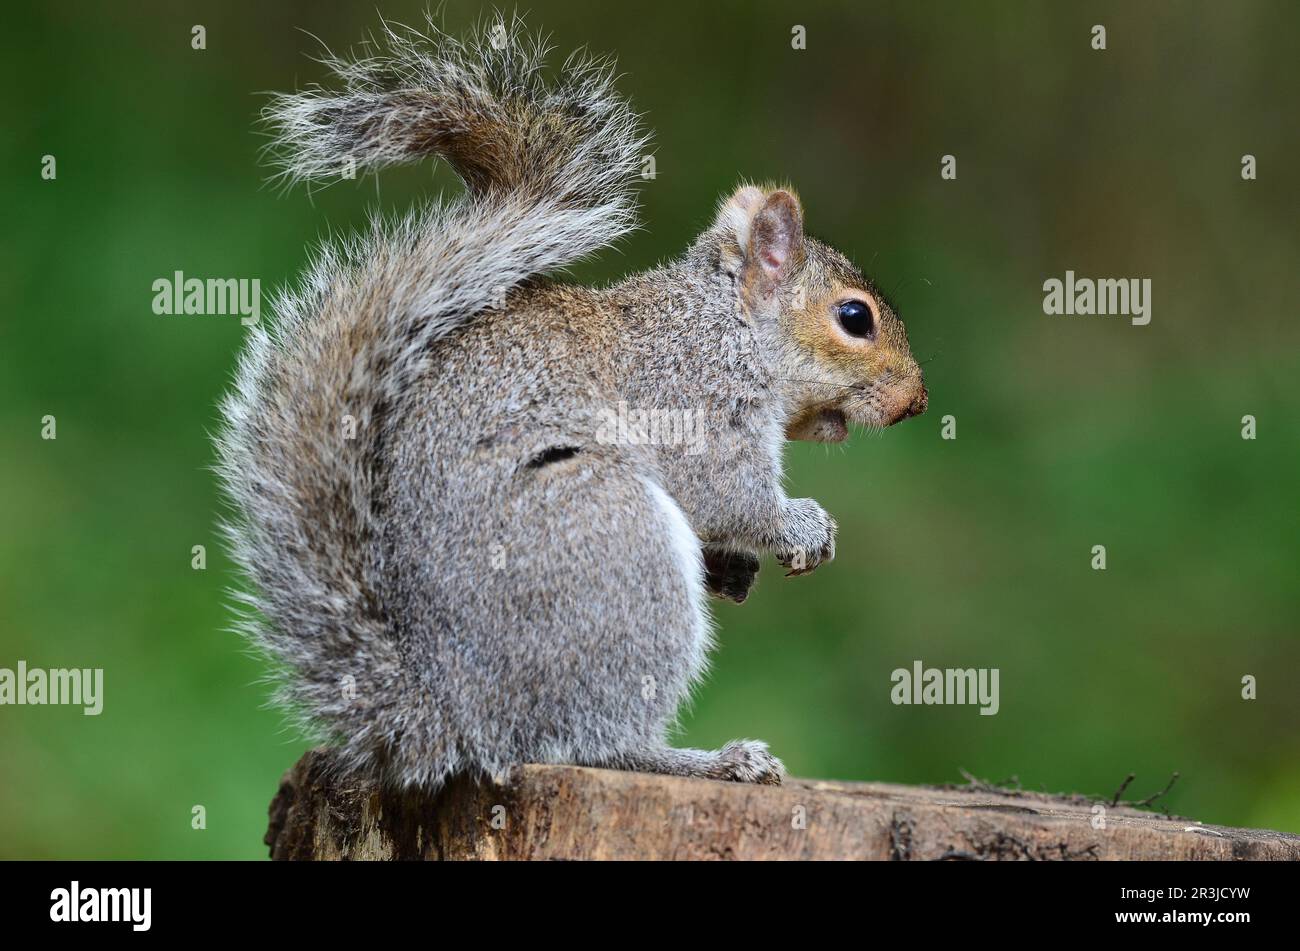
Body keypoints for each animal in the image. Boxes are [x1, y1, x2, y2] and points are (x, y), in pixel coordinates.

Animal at [216, 17, 927, 790]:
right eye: (854, 318)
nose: (918, 401)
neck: (725, 328)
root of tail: (457, 717)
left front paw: (739, 568)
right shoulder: (694, 403)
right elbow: (727, 495)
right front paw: (802, 526)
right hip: (611, 537)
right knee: (594, 743)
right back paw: (713, 761)